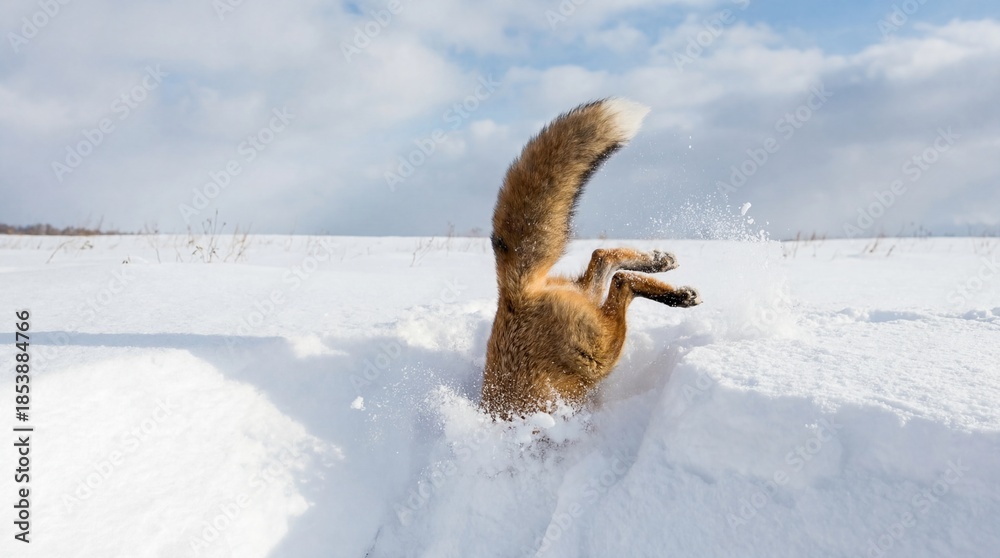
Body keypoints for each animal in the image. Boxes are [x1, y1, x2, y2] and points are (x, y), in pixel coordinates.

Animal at [480, 98, 702, 420]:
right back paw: (661, 265)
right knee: (604, 257)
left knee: (621, 281)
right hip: (593, 317)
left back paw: (677, 295)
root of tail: (514, 295)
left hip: (600, 351)